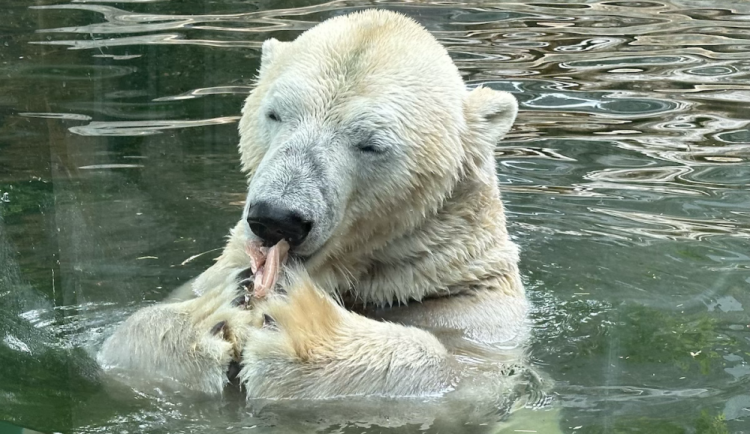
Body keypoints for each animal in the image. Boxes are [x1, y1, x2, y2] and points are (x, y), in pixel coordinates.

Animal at [100, 8, 528, 406]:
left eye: (371, 144)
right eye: (274, 113)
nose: (276, 218)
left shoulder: (478, 314)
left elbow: (463, 375)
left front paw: (303, 327)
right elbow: (122, 344)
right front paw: (210, 314)